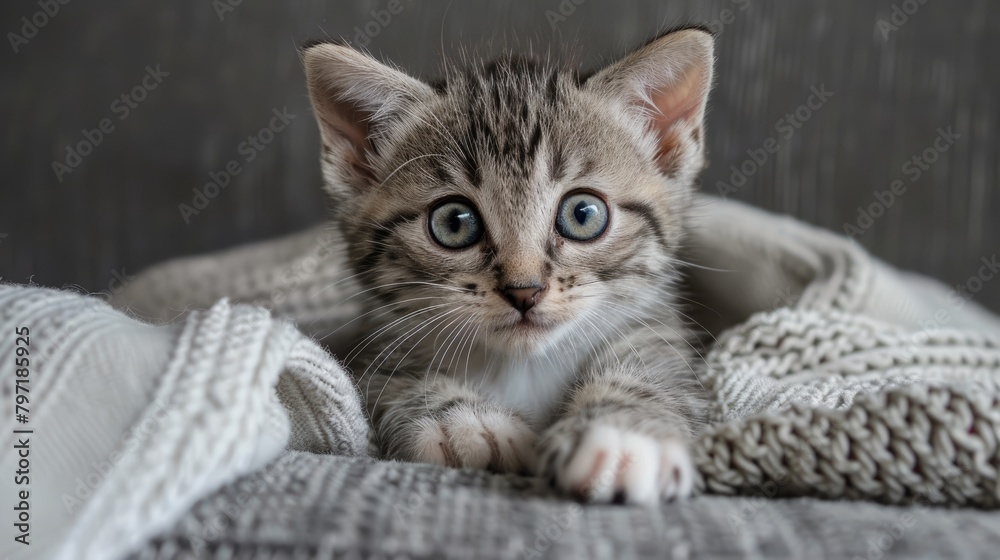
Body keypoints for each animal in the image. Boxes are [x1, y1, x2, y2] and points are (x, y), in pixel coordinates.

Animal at [302, 26, 712, 506]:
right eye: (454, 222)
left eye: (583, 215)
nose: (524, 290)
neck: (523, 368)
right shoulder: (372, 352)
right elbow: (391, 381)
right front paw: (465, 422)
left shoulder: (658, 335)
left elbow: (653, 371)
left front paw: (621, 432)